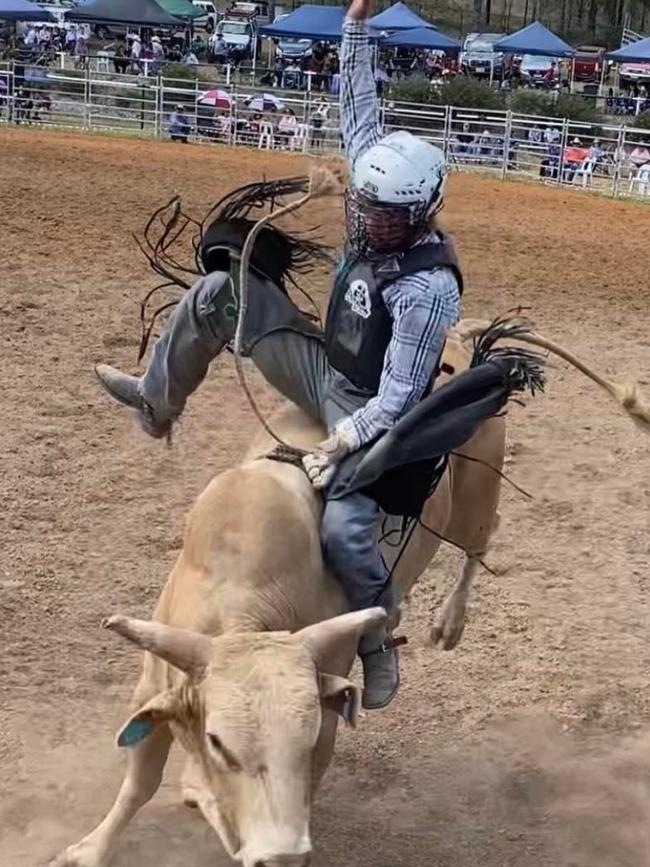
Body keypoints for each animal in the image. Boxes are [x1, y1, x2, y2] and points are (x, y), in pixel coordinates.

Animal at [53, 326, 644, 867]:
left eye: (305, 736)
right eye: (219, 741)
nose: (280, 851)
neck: (237, 596)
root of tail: (462, 339)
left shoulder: (327, 702)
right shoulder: (156, 682)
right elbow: (140, 780)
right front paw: (90, 849)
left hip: (478, 494)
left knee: (482, 539)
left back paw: (448, 624)